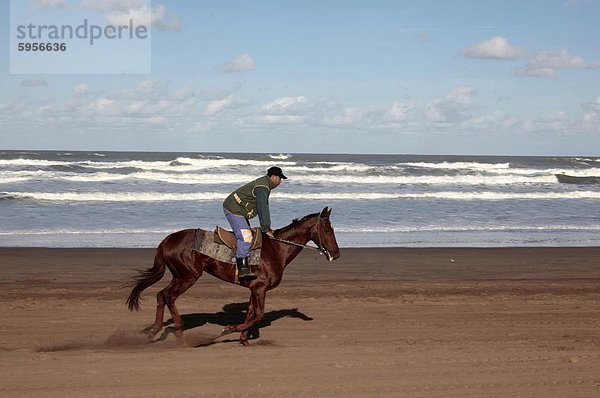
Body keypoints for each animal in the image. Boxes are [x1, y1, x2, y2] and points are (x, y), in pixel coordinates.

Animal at [125, 207, 342, 346]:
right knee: (168, 296)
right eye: (326, 228)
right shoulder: (260, 288)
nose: (336, 253)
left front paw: (244, 339)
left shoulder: (254, 288)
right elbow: (258, 315)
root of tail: (167, 240)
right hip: (188, 276)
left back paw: (154, 330)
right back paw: (178, 332)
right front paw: (228, 330)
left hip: (179, 275)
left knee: (161, 295)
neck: (277, 249)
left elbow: (251, 314)